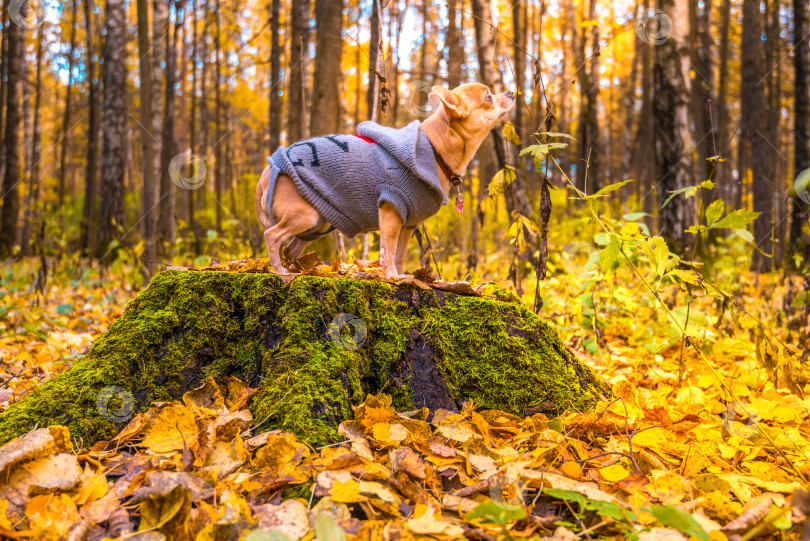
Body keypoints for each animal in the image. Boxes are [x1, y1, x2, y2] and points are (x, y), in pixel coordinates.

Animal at [256, 85, 516, 278]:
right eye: (488, 97)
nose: (512, 92)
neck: (433, 151)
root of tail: (270, 168)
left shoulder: (409, 224)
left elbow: (400, 254)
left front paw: (402, 277)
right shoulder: (391, 210)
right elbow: (388, 251)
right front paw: (391, 276)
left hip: (317, 221)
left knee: (290, 248)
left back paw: (298, 269)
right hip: (305, 217)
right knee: (272, 236)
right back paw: (280, 270)